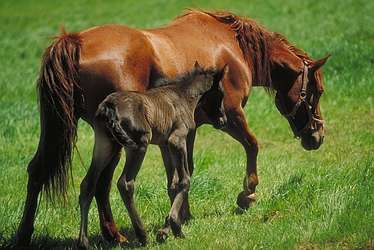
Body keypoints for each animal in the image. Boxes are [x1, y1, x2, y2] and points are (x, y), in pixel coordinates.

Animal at [16, 8, 328, 247]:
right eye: (318, 91)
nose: (318, 137)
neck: (232, 45)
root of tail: (74, 40)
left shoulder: (184, 132)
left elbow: (179, 175)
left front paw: (181, 217)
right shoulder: (231, 116)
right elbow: (252, 145)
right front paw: (247, 194)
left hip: (71, 135)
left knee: (41, 172)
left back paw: (25, 234)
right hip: (118, 145)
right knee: (105, 183)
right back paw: (118, 236)